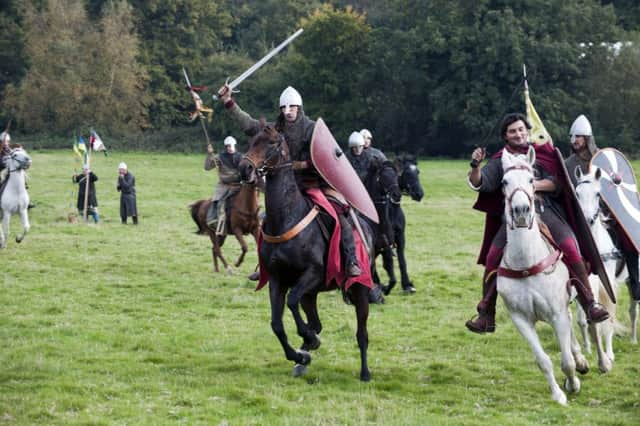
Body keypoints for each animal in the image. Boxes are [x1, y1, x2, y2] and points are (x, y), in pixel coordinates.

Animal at [240, 123, 376, 382]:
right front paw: (300, 354)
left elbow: (292, 302)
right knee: (315, 321)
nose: (245, 169)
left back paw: (365, 372)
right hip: (311, 294)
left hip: (358, 288)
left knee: (362, 333)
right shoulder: (278, 280)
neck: (287, 216)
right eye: (252, 141)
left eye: (272, 143)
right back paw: (303, 358)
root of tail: (366, 229)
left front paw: (309, 341)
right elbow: (277, 324)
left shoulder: (312, 274)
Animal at [364, 155, 424, 294]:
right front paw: (384, 287)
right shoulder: (383, 244)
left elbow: (402, 261)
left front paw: (407, 285)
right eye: (407, 173)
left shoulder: (399, 238)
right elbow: (388, 265)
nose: (419, 194)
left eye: (417, 172)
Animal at [498, 147, 588, 406]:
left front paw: (572, 384)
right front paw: (558, 394)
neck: (526, 264)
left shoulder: (556, 313)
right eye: (504, 182)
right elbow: (543, 361)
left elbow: (566, 361)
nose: (521, 211)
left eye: (531, 179)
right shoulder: (521, 320)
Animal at [576, 166, 636, 350]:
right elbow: (584, 319)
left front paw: (607, 351)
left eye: (597, 194)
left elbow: (607, 318)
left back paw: (633, 339)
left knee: (634, 308)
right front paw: (588, 347)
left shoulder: (607, 285)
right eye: (577, 193)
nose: (587, 220)